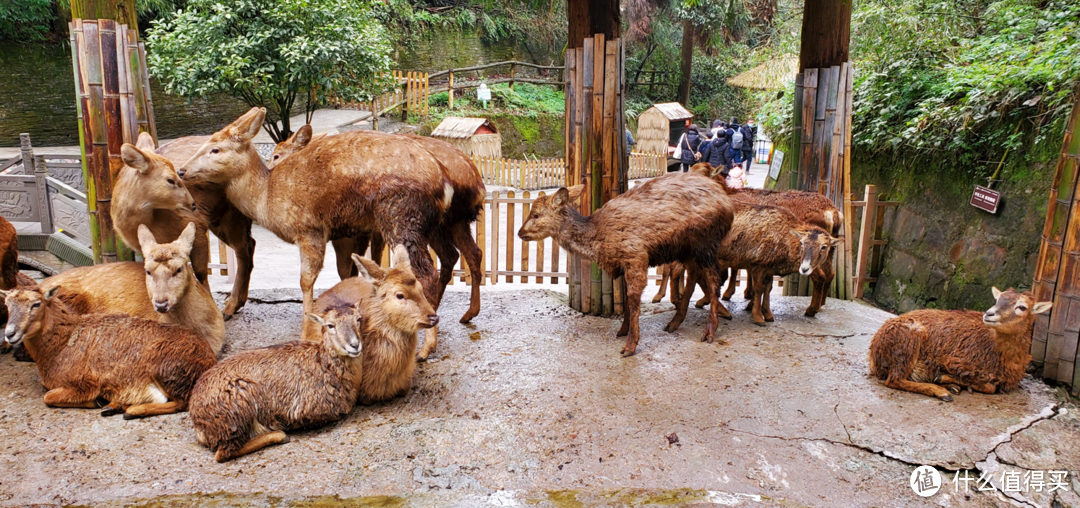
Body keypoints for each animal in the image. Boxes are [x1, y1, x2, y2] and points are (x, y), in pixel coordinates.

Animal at [514, 169, 734, 352]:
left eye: (536, 214)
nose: (520, 233)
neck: (597, 236)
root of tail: (727, 205)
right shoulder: (621, 264)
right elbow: (627, 298)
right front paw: (622, 330)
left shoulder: (636, 255)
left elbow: (634, 298)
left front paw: (630, 345)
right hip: (687, 249)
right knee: (695, 275)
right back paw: (674, 323)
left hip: (706, 242)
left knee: (713, 279)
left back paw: (709, 331)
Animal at [868, 285, 1054, 399]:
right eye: (997, 299)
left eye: (1022, 307)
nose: (989, 314)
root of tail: (874, 354)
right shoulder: (956, 362)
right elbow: (990, 387)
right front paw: (946, 380)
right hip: (907, 341)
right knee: (894, 380)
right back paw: (942, 392)